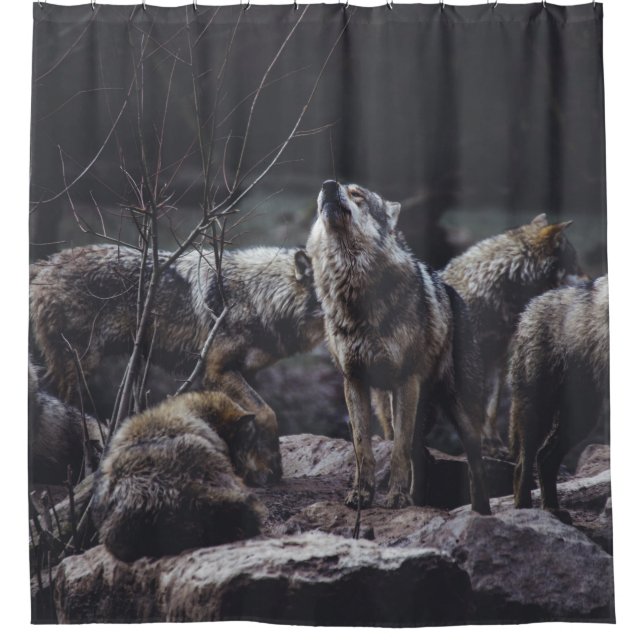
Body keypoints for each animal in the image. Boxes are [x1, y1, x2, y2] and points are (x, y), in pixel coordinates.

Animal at [30, 244, 325, 483]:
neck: (259, 296)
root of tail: (46, 263)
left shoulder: (243, 373)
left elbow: (249, 420)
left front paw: (257, 469)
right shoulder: (217, 370)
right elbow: (267, 413)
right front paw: (273, 467)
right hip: (80, 366)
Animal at [306, 180, 490, 513]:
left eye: (357, 194)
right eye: (330, 188)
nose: (328, 185)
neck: (354, 292)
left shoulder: (405, 381)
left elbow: (398, 452)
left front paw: (395, 498)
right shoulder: (354, 381)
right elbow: (363, 449)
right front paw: (362, 495)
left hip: (459, 412)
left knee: (475, 465)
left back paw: (480, 512)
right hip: (395, 408)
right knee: (422, 456)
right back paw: (416, 500)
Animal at [509, 276, 608, 518]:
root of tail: (530, 306)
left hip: (582, 418)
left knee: (544, 458)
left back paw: (552, 508)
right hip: (539, 411)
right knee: (524, 463)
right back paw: (525, 509)